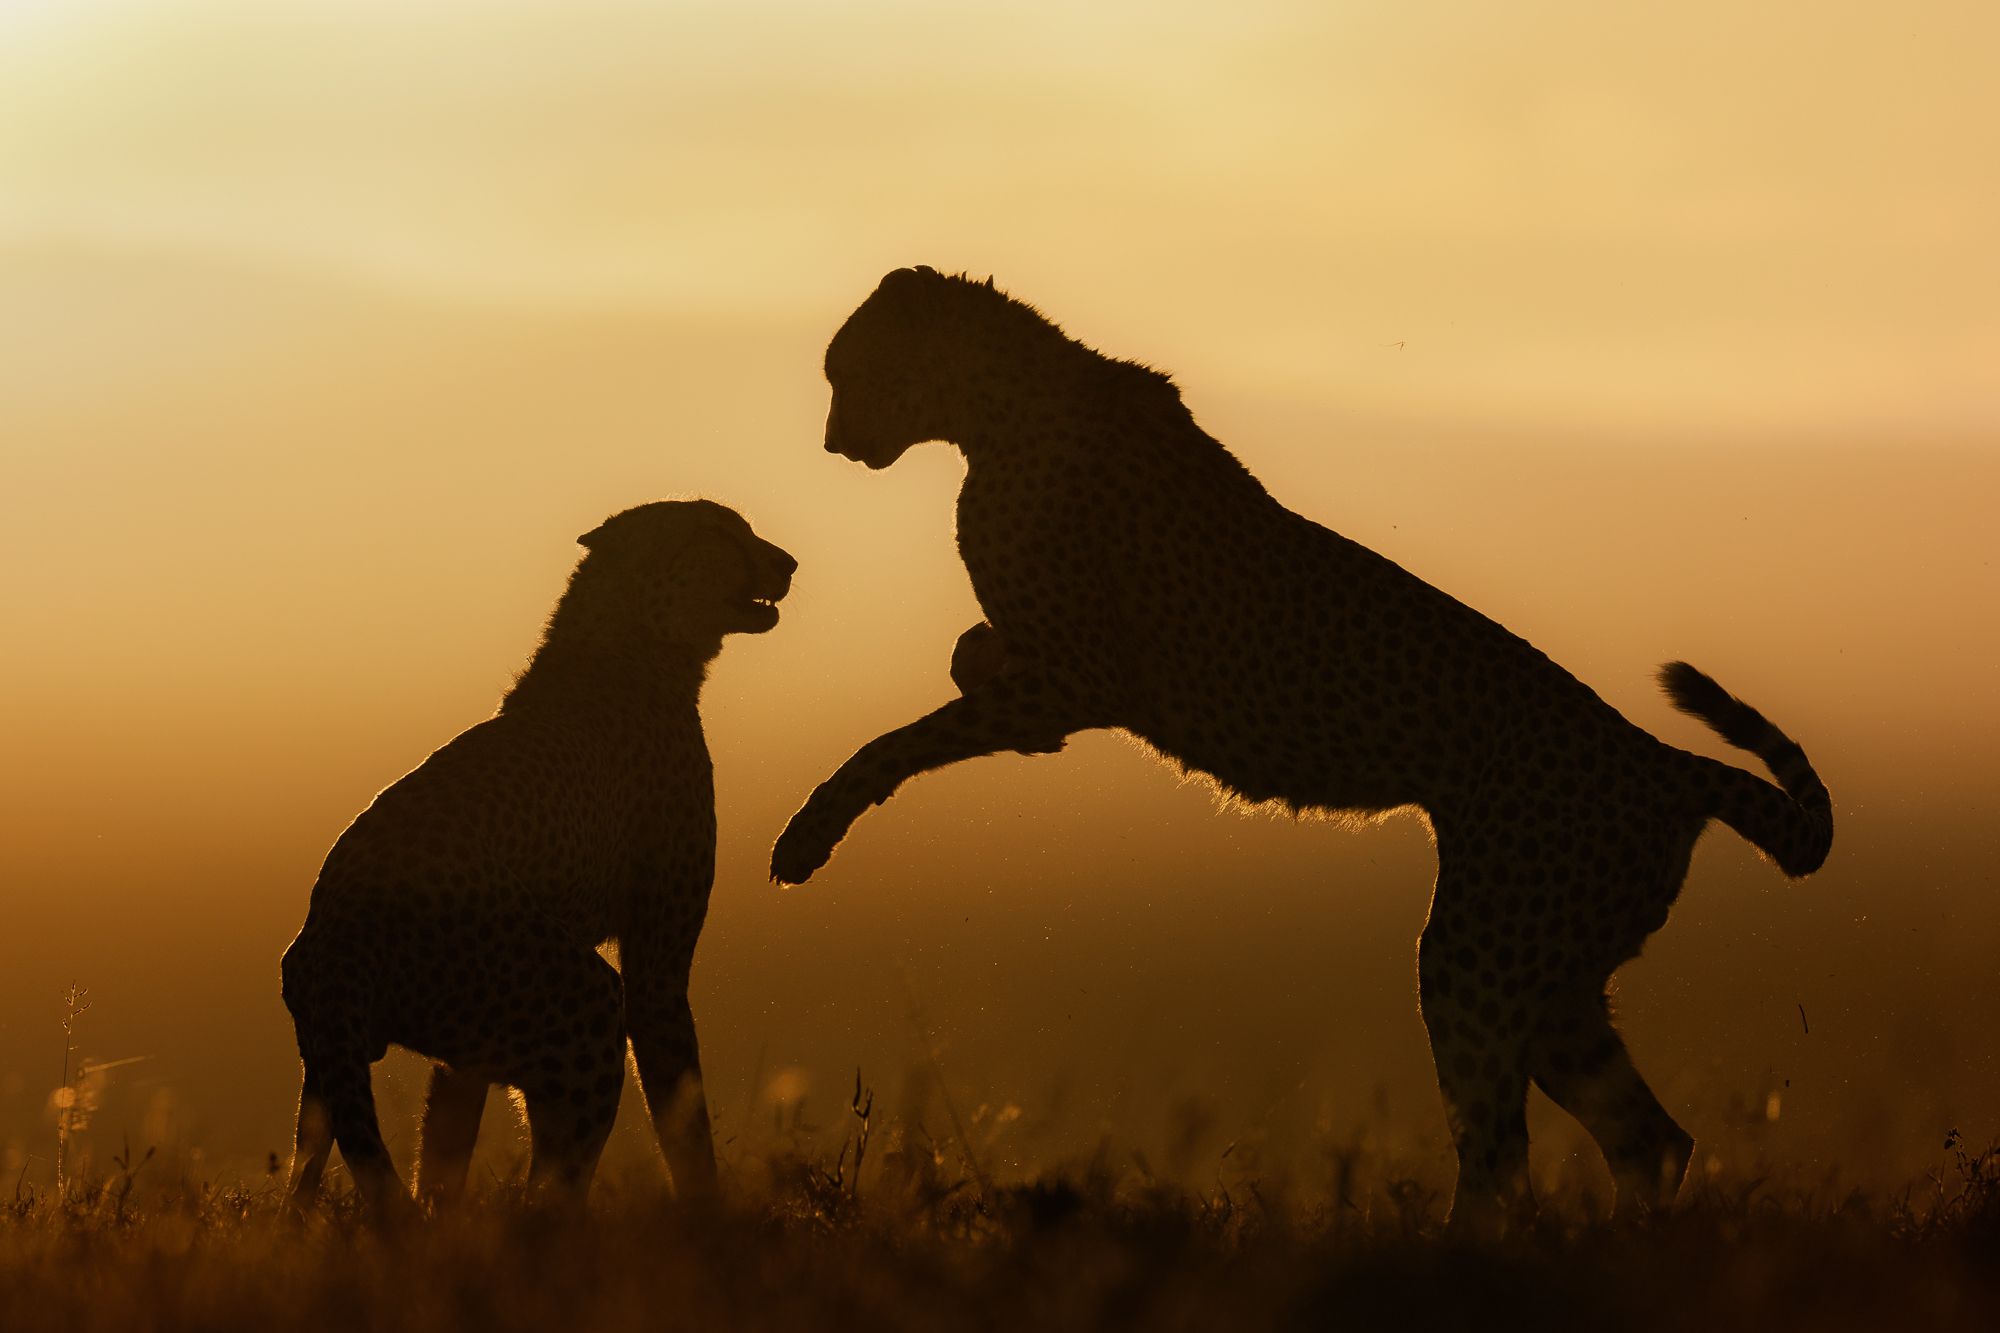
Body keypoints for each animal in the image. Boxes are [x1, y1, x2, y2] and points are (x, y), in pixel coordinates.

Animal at [281, 499, 795, 1212]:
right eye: (718, 532)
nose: (787, 562)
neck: (635, 646)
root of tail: (329, 932)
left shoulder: (468, 1046)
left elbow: (444, 1144)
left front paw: (445, 1220)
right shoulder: (654, 968)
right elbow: (680, 1106)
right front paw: (709, 1215)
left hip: (337, 1062)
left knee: (303, 1177)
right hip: (583, 1004)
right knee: (551, 1193)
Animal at [770, 266, 1832, 1228]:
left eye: (847, 370)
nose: (832, 440)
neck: (998, 408)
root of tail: (1658, 758)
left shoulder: (1077, 679)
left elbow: (892, 742)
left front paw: (806, 836)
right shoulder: (1058, 681)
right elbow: (964, 662)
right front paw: (966, 668)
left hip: (1479, 957)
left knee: (1505, 1156)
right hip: (1557, 977)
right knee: (1650, 1140)